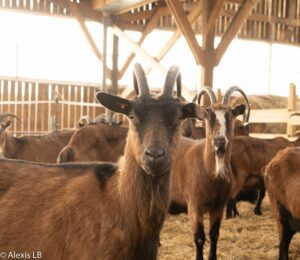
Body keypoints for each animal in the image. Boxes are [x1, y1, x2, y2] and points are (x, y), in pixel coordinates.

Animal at [170, 87, 247, 260]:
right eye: (209, 116)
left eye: (230, 116)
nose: (220, 141)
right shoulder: (194, 207)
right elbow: (199, 238)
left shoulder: (218, 206)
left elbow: (214, 235)